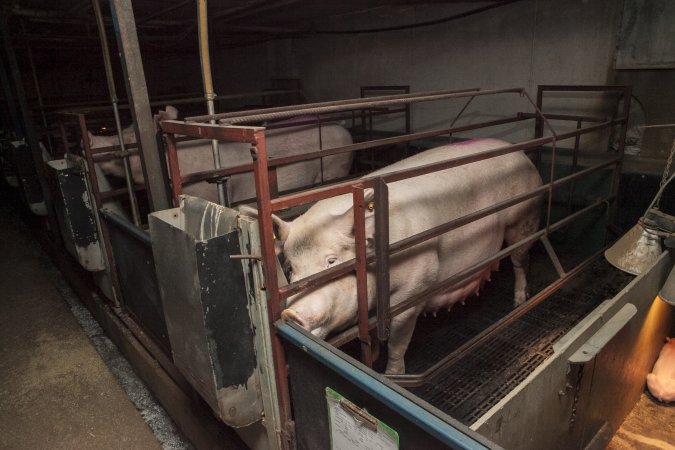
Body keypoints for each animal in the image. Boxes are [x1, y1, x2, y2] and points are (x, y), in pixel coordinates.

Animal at [274, 139, 544, 374]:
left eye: (331, 261)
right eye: (290, 269)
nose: (291, 313)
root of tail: (520, 154)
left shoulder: (414, 288)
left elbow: (397, 341)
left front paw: (393, 374)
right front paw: (372, 356)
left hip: (524, 218)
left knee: (520, 261)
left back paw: (519, 302)